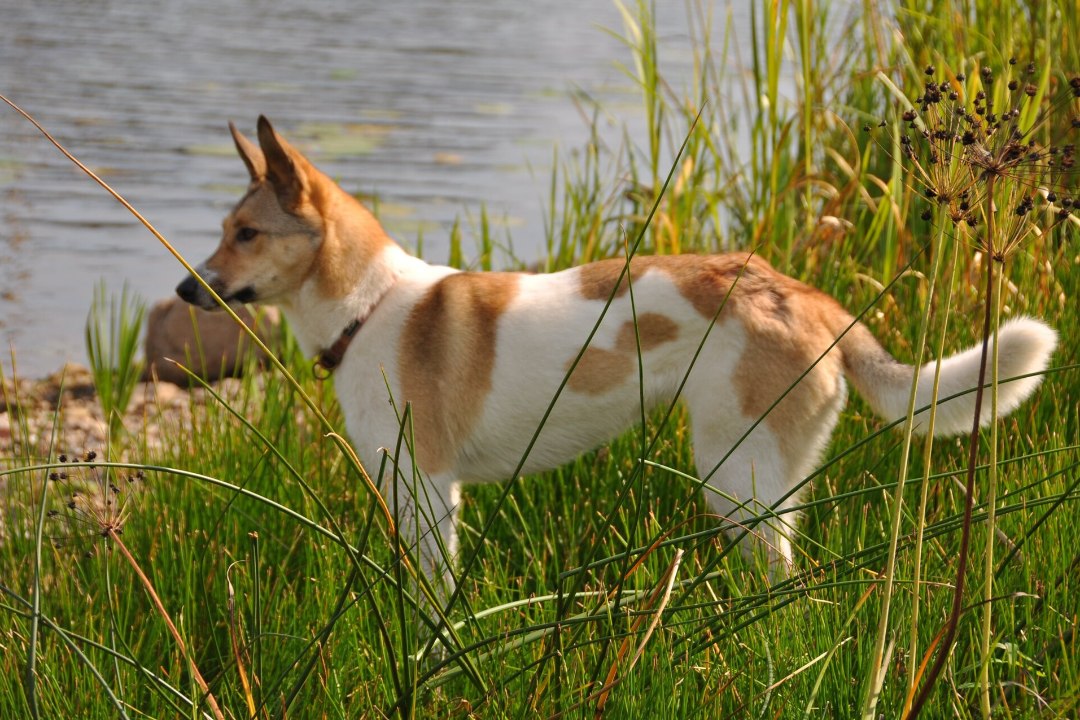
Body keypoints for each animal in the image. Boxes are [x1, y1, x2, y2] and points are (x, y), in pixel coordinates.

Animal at [174, 113, 1054, 587]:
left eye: (246, 233)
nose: (186, 290)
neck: (373, 307)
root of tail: (806, 295)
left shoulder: (428, 489)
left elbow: (435, 597)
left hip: (733, 473)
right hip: (772, 477)